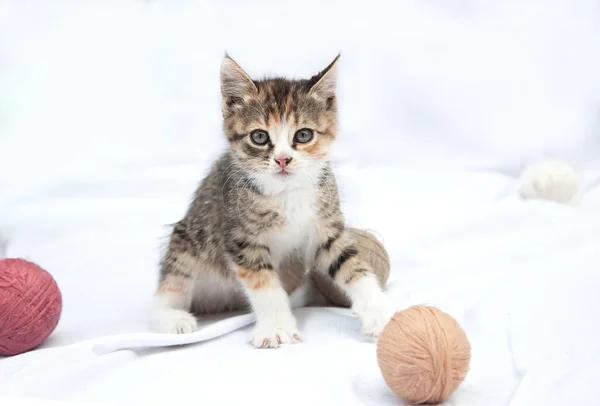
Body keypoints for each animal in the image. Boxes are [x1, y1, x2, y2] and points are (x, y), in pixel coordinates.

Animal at [150, 54, 396, 348]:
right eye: (259, 136)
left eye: (303, 135)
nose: (282, 159)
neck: (287, 192)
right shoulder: (242, 239)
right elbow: (264, 284)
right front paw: (277, 327)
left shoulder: (326, 228)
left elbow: (351, 265)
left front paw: (379, 312)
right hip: (186, 241)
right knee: (169, 287)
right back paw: (172, 318)